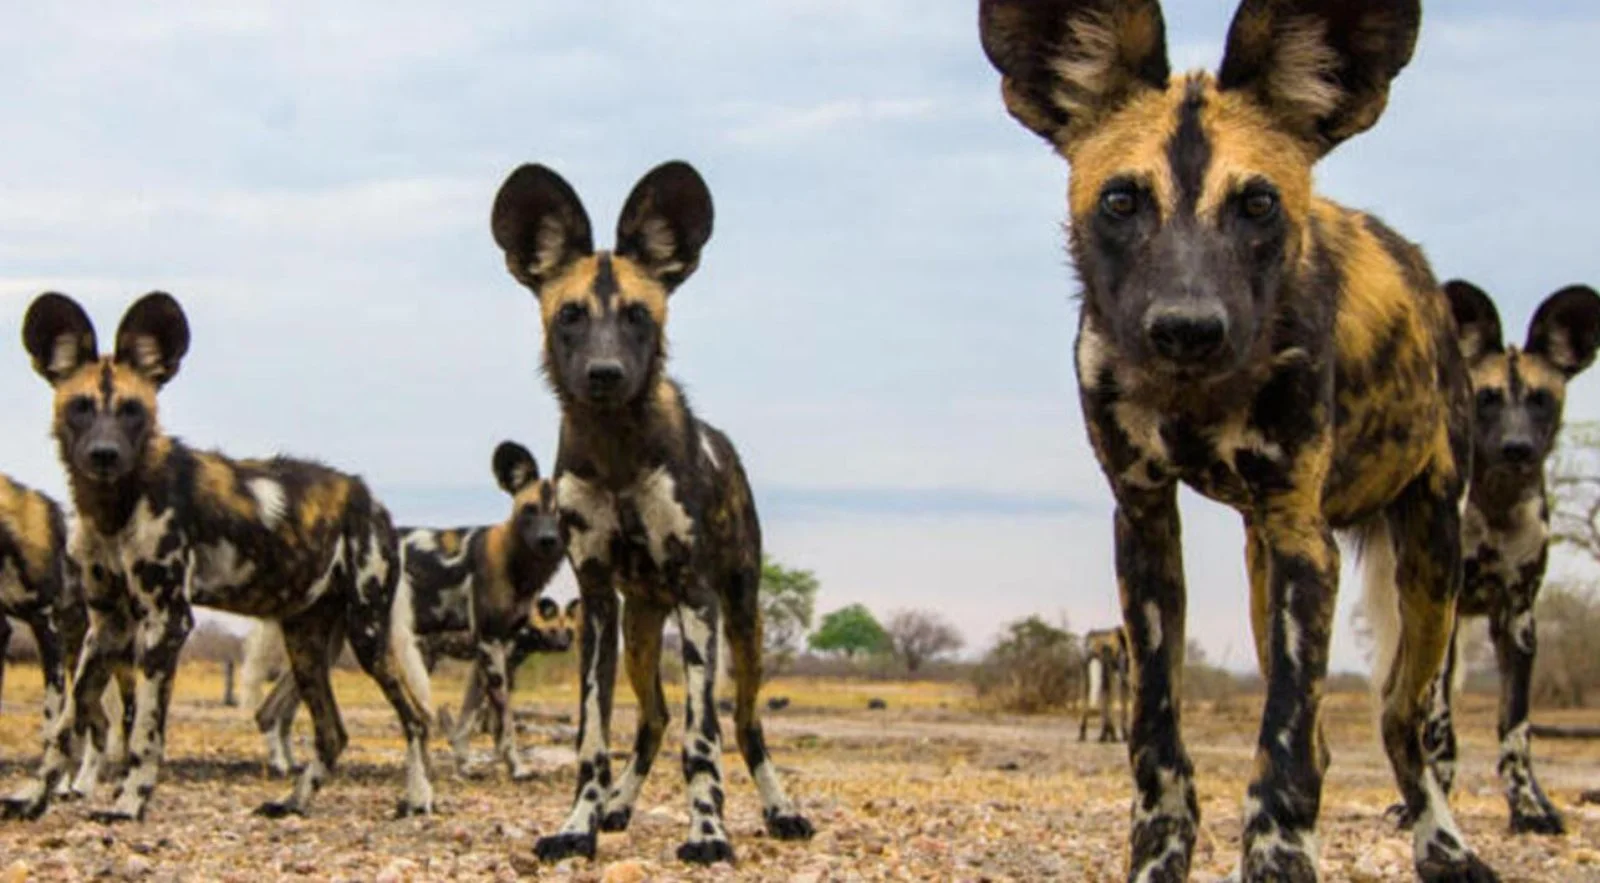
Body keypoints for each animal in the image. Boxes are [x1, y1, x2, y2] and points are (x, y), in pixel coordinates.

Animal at [3, 292, 435, 825]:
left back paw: (418, 799)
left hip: (367, 635)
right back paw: (292, 803)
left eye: (132, 411)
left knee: (415, 718)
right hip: (306, 644)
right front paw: (32, 798)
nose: (104, 454)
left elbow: (144, 735)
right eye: (80, 407)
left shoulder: (166, 621)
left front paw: (128, 804)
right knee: (333, 733)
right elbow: (64, 726)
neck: (113, 505)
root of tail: (372, 500)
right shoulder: (105, 629)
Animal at [246, 441, 572, 780]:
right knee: (272, 711)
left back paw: (289, 765)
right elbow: (503, 720)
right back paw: (284, 765)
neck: (515, 561)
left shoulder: (486, 658)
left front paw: (463, 765)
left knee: (271, 710)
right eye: (530, 510)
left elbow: (468, 720)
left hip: (327, 647)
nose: (548, 540)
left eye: (563, 515)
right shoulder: (489, 645)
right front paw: (516, 768)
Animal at [489, 160, 819, 863]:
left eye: (638, 315)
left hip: (744, 621)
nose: (605, 372)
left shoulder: (698, 597)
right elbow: (592, 739)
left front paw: (709, 835)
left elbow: (704, 739)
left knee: (744, 725)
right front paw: (578, 826)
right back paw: (617, 807)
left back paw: (781, 812)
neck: (617, 449)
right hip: (640, 630)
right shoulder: (595, 604)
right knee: (653, 719)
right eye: (571, 315)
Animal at [972, 1, 1497, 883]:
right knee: (1328, 732)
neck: (1194, 396)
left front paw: (1280, 855)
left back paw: (1446, 847)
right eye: (1122, 201)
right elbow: (1157, 738)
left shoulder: (1303, 539)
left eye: (1258, 205)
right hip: (1266, 568)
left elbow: (1283, 746)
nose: (1187, 328)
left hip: (1429, 558)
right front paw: (1159, 856)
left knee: (1401, 718)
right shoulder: (1146, 524)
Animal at [1376, 281, 1600, 831]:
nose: (1517, 448)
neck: (1496, 504)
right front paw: (1432, 801)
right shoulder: (1447, 618)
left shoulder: (1518, 620)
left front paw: (1528, 806)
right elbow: (1439, 729)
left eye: (1541, 400)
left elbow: (1515, 729)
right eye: (1487, 400)